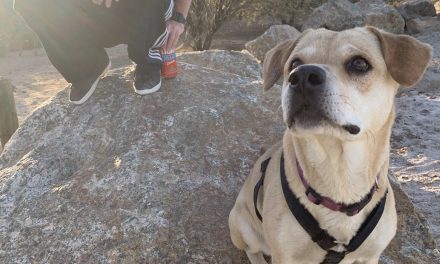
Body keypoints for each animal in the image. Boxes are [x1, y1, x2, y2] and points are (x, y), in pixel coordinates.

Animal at [229, 27, 432, 264]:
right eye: (295, 63)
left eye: (359, 63)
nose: (302, 76)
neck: (339, 172)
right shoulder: (285, 255)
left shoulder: (370, 256)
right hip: (241, 226)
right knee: (252, 249)